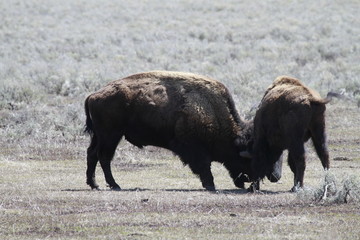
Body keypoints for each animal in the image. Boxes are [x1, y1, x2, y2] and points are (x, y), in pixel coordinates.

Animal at [84, 70, 258, 190]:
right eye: (245, 160)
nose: (250, 181)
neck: (213, 109)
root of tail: (93, 95)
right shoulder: (194, 148)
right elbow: (204, 166)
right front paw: (210, 185)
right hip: (110, 136)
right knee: (104, 157)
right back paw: (114, 185)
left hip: (100, 136)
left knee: (92, 154)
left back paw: (94, 184)